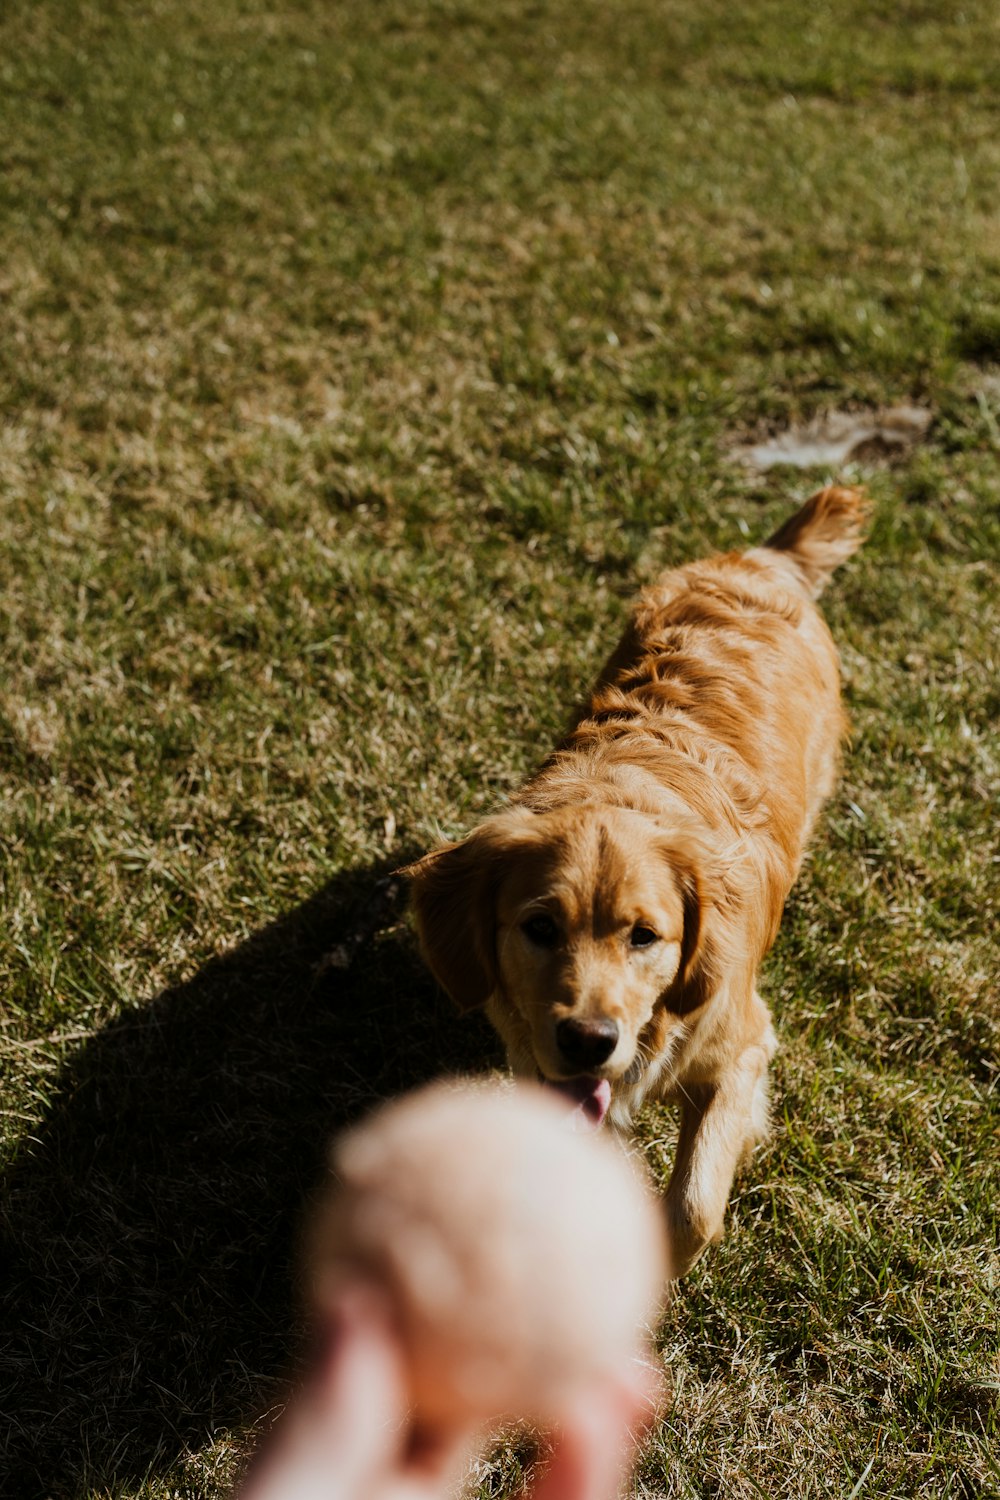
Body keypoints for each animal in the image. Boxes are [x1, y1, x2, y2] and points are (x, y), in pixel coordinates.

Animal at [401, 486, 863, 1272]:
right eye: (539, 927)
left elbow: (692, 1206)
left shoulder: (743, 1047)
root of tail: (760, 560)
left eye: (645, 936)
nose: (589, 1040)